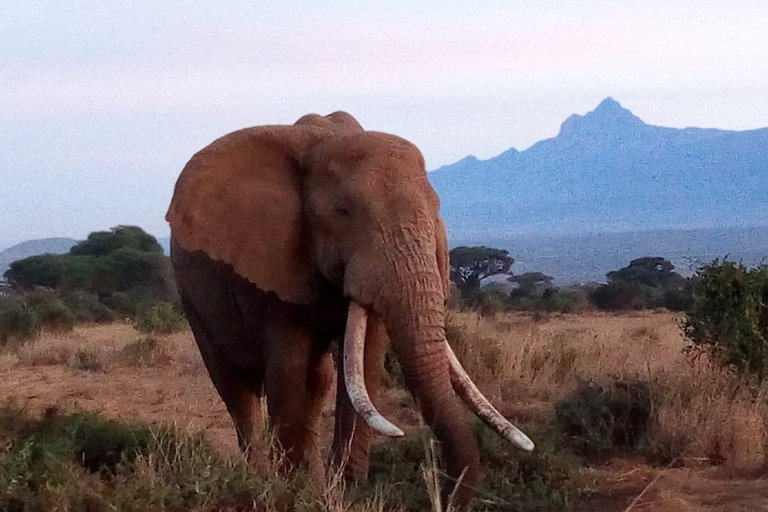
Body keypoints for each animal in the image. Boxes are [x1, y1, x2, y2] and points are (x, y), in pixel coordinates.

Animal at [165, 110, 532, 506]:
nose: (445, 498)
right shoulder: (271, 260)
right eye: (343, 212)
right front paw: (294, 493)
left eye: (436, 212)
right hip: (190, 295)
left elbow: (364, 365)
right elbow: (287, 368)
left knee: (318, 380)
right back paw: (258, 481)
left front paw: (344, 492)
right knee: (236, 389)